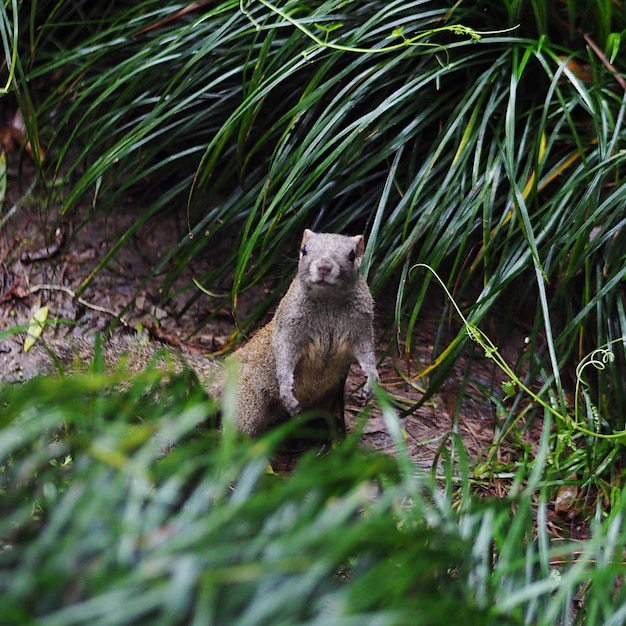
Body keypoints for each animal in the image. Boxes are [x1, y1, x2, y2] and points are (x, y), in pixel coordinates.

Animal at [0, 228, 376, 434]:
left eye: (351, 254)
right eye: (304, 250)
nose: (323, 267)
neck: (328, 304)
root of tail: (222, 375)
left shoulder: (362, 324)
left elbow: (366, 352)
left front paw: (372, 380)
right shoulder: (289, 325)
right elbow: (283, 353)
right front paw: (287, 385)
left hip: (331, 398)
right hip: (251, 402)